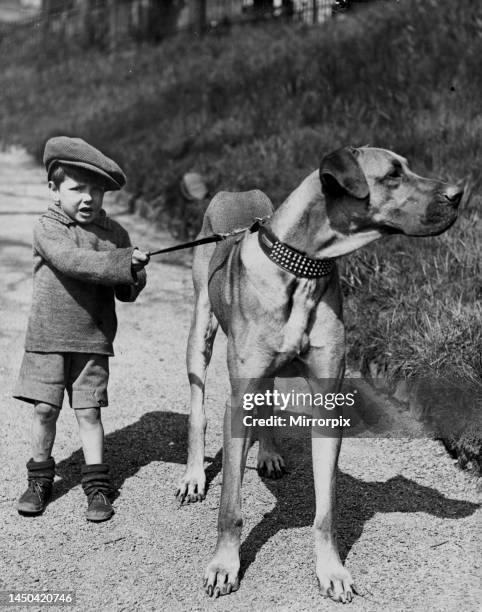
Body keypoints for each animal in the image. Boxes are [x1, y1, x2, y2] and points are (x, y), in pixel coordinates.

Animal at [176, 148, 464, 604]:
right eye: (393, 175)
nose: (459, 193)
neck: (303, 267)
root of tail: (234, 192)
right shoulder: (237, 403)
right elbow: (231, 507)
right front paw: (224, 566)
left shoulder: (328, 403)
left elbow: (326, 509)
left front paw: (332, 571)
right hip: (200, 331)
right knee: (198, 408)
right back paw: (192, 476)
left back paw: (269, 453)